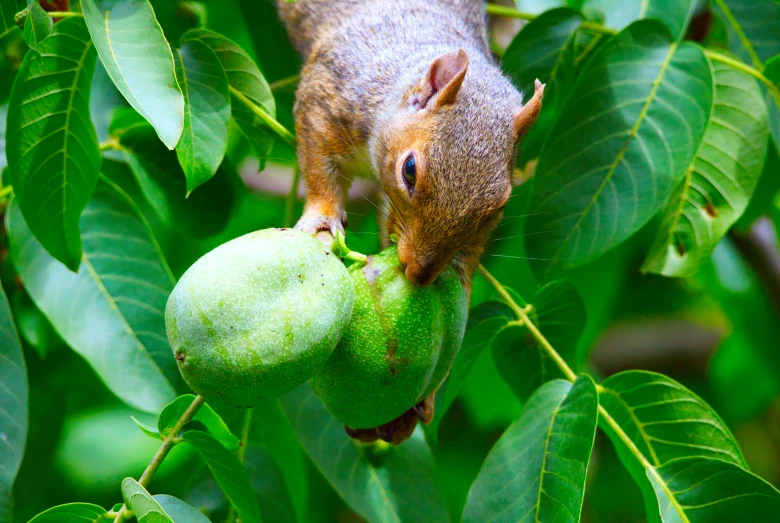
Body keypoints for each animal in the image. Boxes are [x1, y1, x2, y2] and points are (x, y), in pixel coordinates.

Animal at [278, 0, 544, 446]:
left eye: (497, 208)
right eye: (410, 170)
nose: (420, 273)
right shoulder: (330, 93)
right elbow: (318, 167)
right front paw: (322, 217)